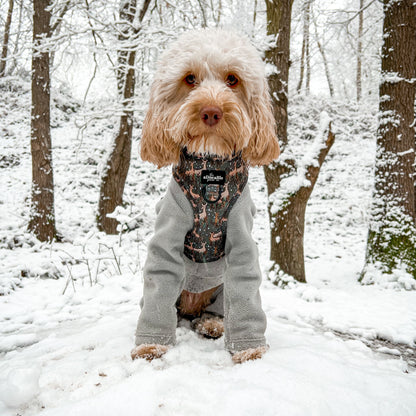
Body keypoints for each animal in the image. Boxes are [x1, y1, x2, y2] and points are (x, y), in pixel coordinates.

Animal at [131, 28, 280, 364]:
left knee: (217, 308)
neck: (210, 170)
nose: (211, 112)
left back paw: (212, 323)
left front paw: (250, 349)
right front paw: (150, 345)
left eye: (232, 79)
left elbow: (245, 287)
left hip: (220, 288)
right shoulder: (168, 231)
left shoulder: (241, 237)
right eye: (189, 79)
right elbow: (159, 277)